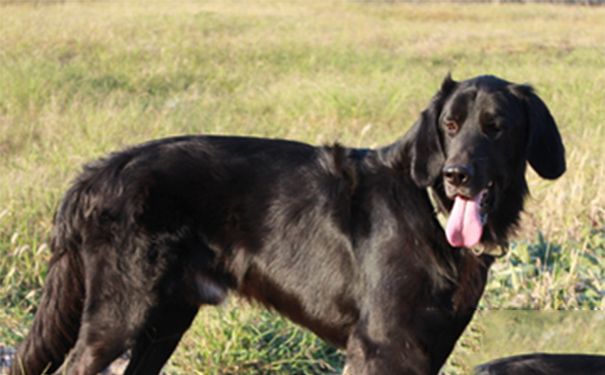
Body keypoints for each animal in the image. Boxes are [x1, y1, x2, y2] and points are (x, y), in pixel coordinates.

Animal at [10, 75, 568, 374]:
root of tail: (97, 172)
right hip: (118, 317)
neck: (429, 208)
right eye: (450, 126)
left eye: (496, 128)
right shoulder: (384, 345)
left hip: (163, 319)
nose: (456, 175)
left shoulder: (426, 347)